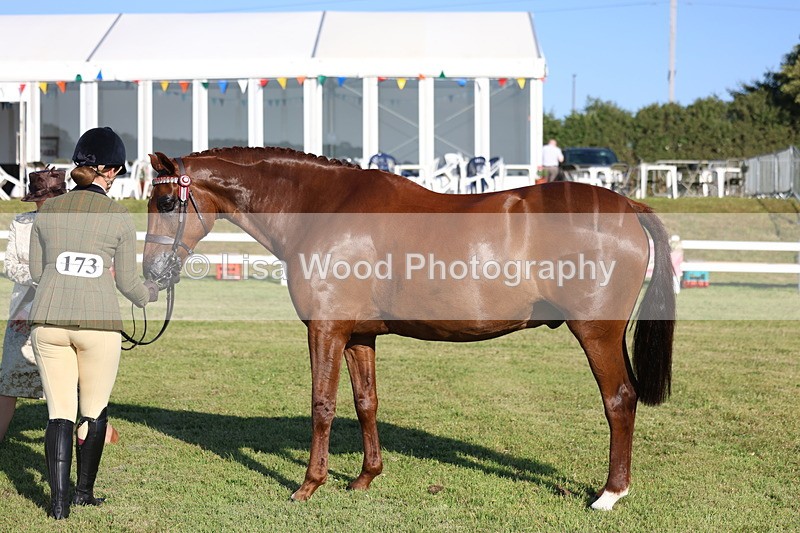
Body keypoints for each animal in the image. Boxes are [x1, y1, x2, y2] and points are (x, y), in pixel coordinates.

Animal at [142, 147, 675, 511]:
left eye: (166, 203)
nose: (150, 272)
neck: (322, 210)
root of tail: (628, 208)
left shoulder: (325, 330)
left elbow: (322, 405)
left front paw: (309, 485)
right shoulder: (358, 336)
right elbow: (365, 402)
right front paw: (364, 478)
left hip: (596, 333)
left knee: (619, 400)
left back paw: (609, 494)